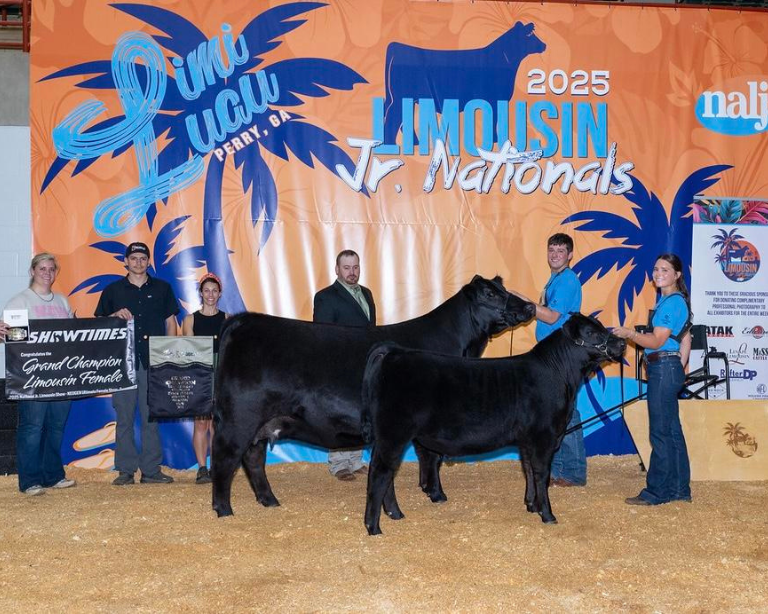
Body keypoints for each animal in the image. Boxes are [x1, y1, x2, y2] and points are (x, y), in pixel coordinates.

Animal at [211, 276, 536, 517]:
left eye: (504, 289)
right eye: (490, 294)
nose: (531, 306)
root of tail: (242, 321)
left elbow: (425, 456)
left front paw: (426, 490)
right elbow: (431, 456)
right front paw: (437, 493)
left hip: (261, 421)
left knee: (253, 458)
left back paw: (269, 501)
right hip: (239, 416)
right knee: (226, 458)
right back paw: (224, 509)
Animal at [361, 313, 626, 535]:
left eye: (602, 327)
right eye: (591, 332)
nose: (622, 343)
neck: (559, 375)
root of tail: (394, 352)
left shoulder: (528, 440)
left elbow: (528, 470)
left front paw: (532, 505)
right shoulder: (544, 436)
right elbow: (541, 474)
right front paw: (548, 514)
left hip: (388, 437)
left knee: (386, 474)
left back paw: (395, 514)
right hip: (394, 433)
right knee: (380, 473)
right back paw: (373, 527)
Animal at [382, 22, 546, 145]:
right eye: (529, 35)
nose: (544, 45)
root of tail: (396, 45)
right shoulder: (494, 100)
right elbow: (493, 120)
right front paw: (494, 141)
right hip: (399, 98)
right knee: (392, 118)